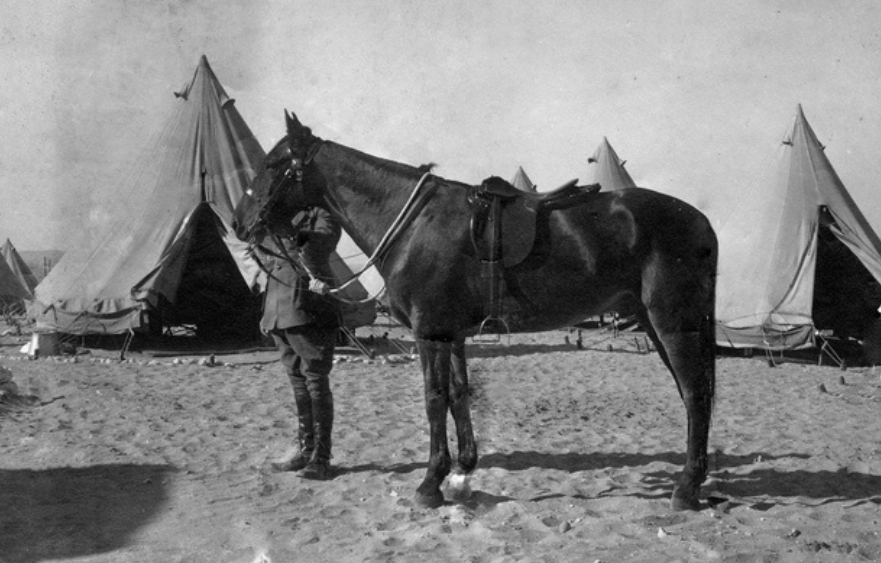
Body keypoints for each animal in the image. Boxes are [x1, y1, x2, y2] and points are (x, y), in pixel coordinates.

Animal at [233, 110, 718, 511]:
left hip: (674, 325)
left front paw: (430, 483)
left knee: (695, 395)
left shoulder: (430, 334)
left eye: (273, 165)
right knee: (693, 394)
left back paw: (685, 488)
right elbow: (459, 395)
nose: (239, 223)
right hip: (657, 325)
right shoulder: (453, 334)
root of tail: (702, 222)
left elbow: (434, 400)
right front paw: (464, 466)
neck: (413, 224)